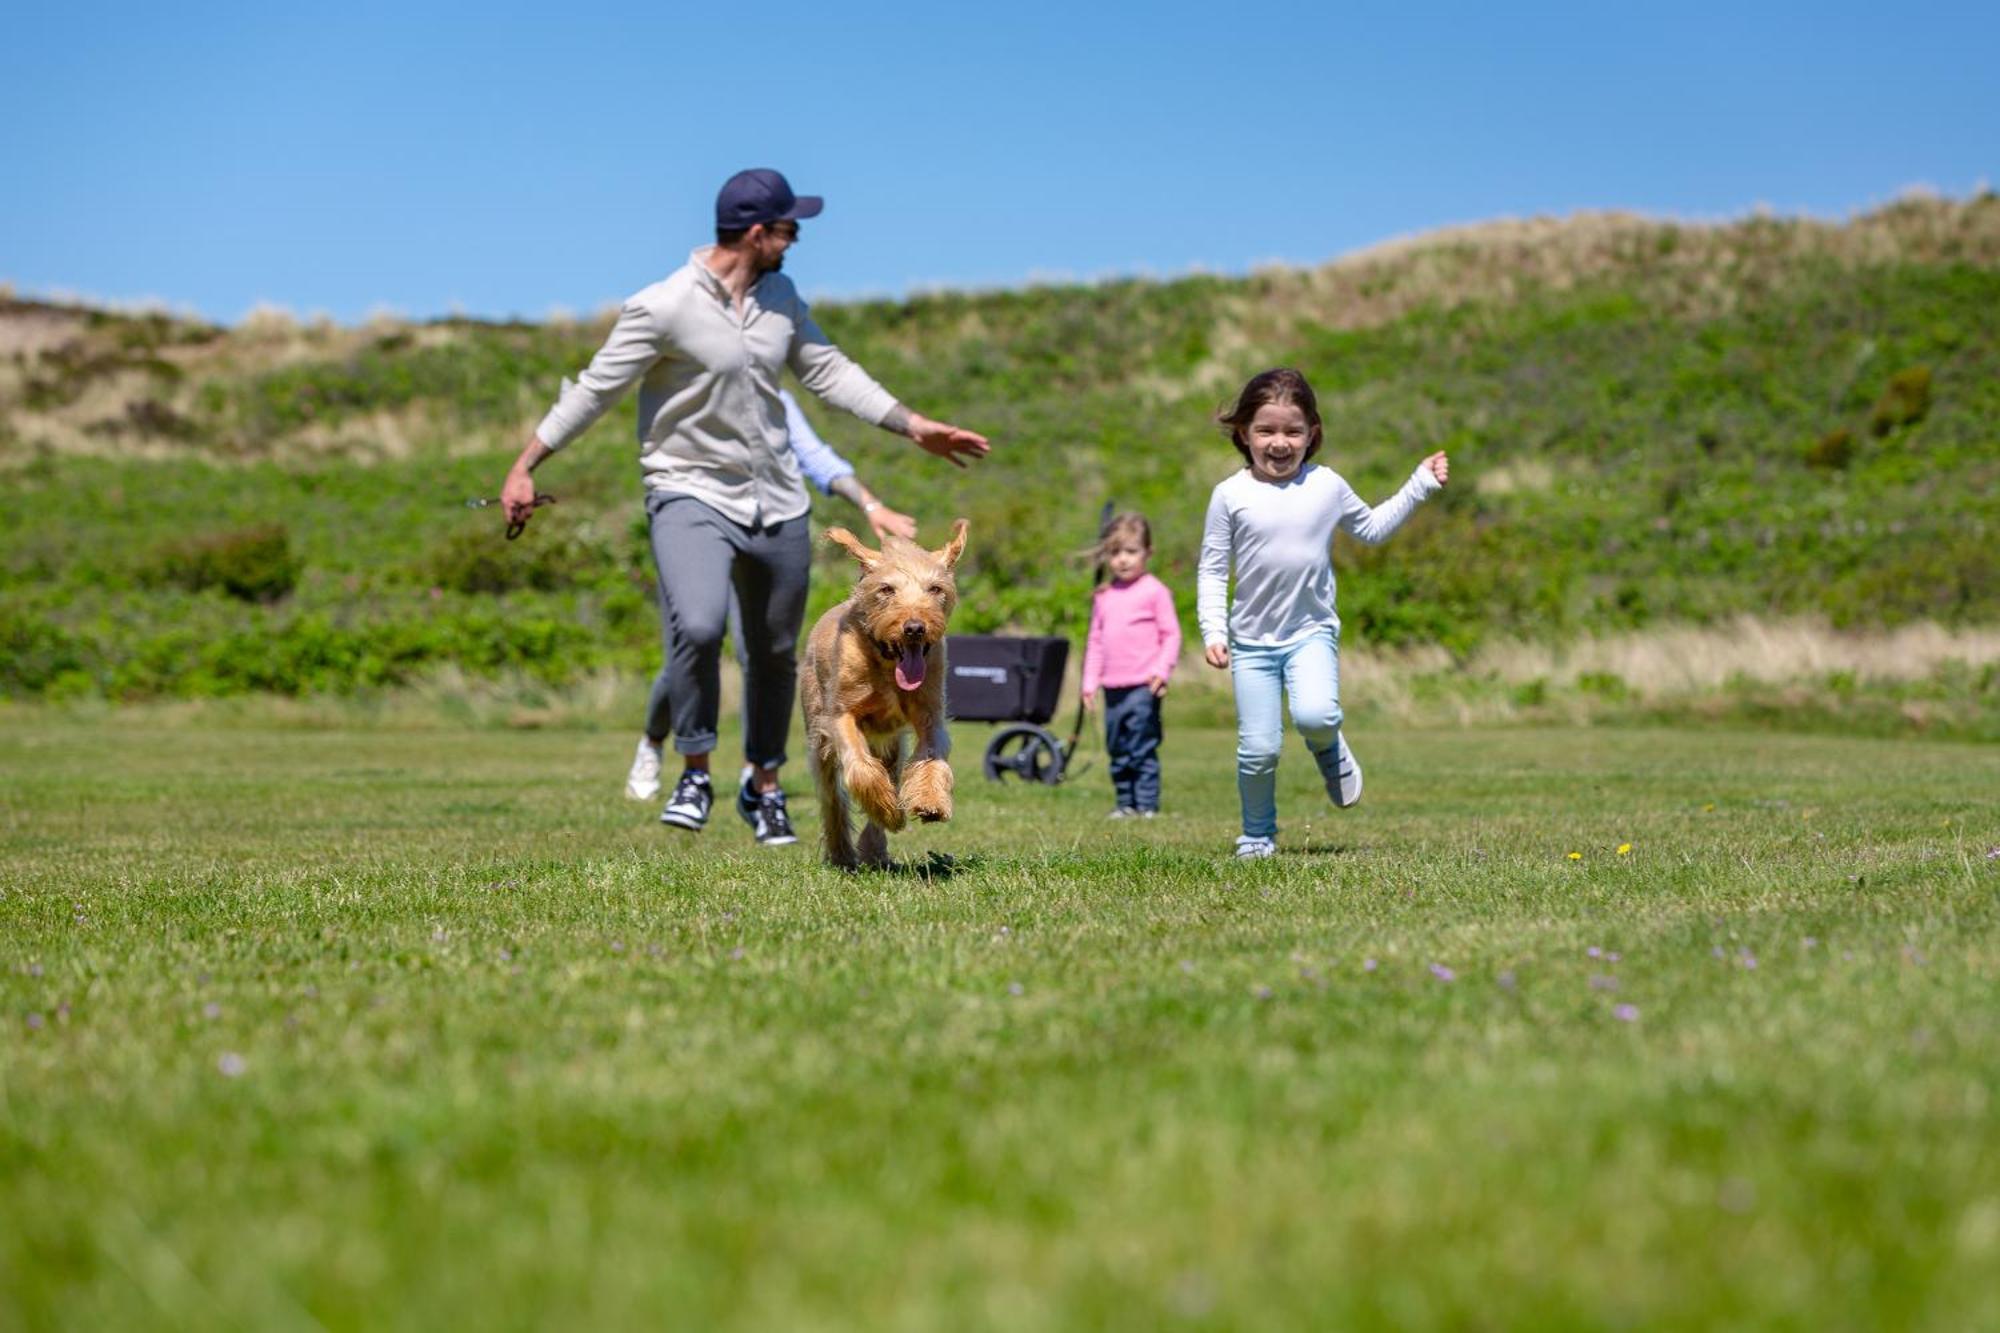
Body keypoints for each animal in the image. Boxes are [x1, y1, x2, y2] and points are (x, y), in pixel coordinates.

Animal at [804, 512, 976, 868]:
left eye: (935, 588)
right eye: (886, 589)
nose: (914, 628)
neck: (885, 663)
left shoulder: (930, 715)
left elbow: (930, 757)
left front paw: (930, 802)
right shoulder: (840, 717)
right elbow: (860, 768)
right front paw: (885, 808)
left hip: (891, 745)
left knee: (890, 772)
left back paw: (874, 849)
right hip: (819, 736)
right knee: (832, 798)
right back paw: (842, 853)